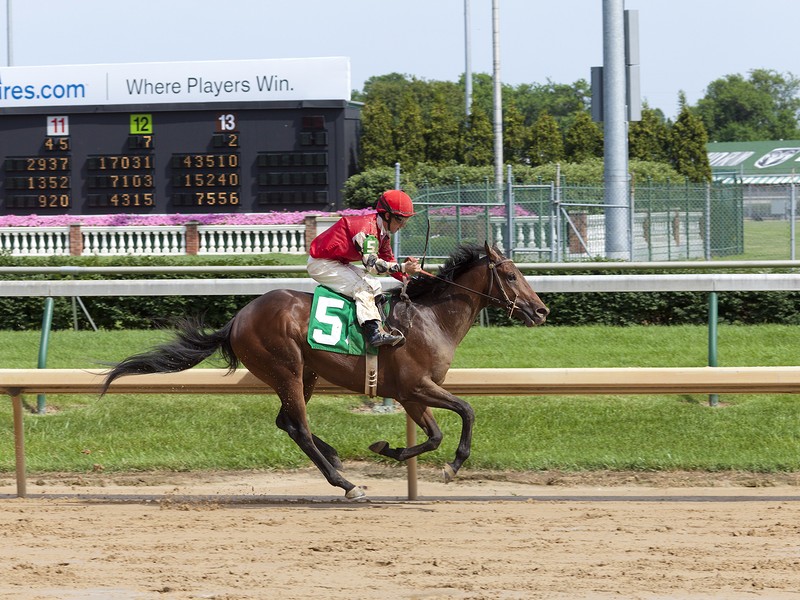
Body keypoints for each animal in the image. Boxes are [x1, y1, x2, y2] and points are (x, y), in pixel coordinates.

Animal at [100, 241, 548, 500]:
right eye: (511, 275)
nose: (541, 311)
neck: (430, 318)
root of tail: (237, 319)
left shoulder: (409, 393)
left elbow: (434, 435)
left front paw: (388, 448)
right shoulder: (416, 386)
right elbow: (467, 412)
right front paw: (451, 467)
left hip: (307, 374)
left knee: (285, 422)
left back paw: (334, 458)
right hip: (287, 369)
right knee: (297, 425)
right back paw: (346, 484)